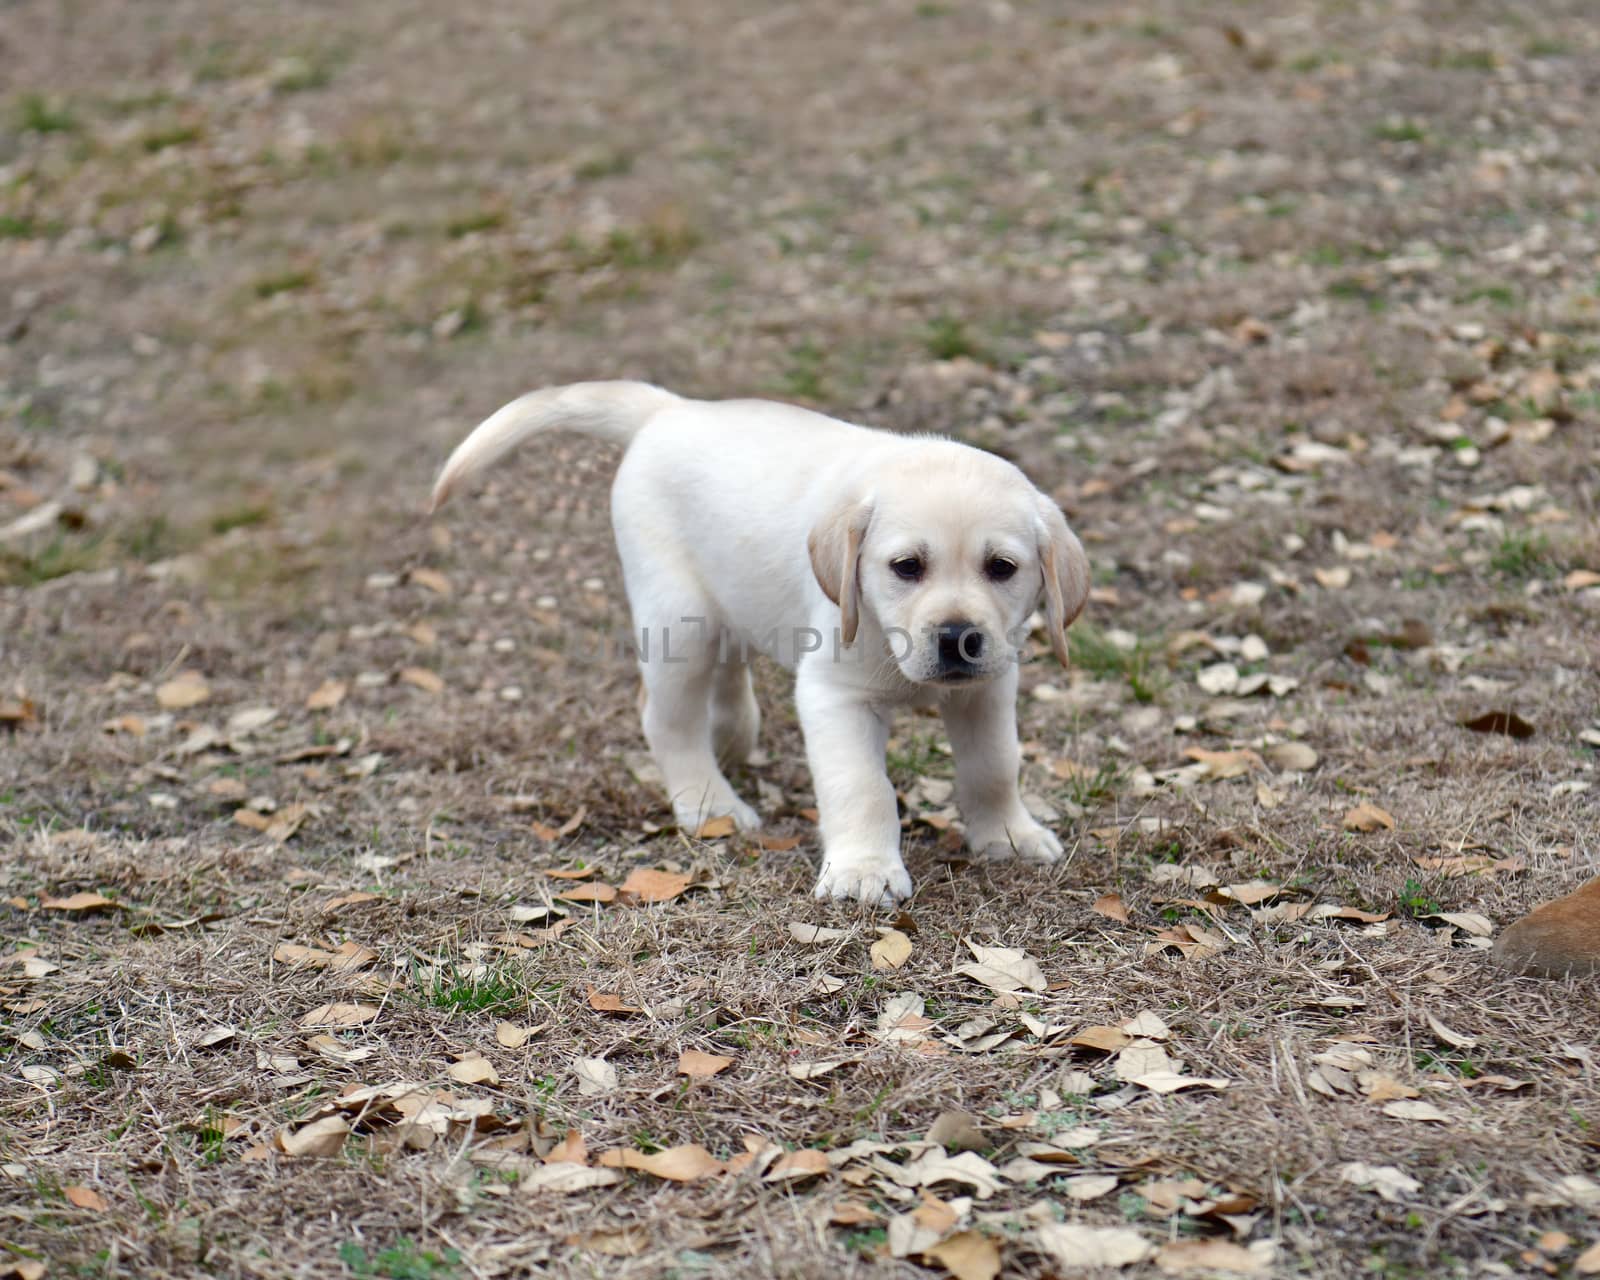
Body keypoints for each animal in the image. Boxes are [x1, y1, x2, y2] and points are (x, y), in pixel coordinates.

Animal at [432, 380, 1094, 902]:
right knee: (667, 720)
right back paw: (709, 802)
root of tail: (670, 410)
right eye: (906, 567)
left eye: (1002, 568)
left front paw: (1009, 834)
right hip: (680, 620)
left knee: (727, 671)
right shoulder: (834, 696)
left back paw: (733, 736)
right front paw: (864, 872)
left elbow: (994, 765)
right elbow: (863, 787)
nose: (959, 638)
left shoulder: (989, 688)